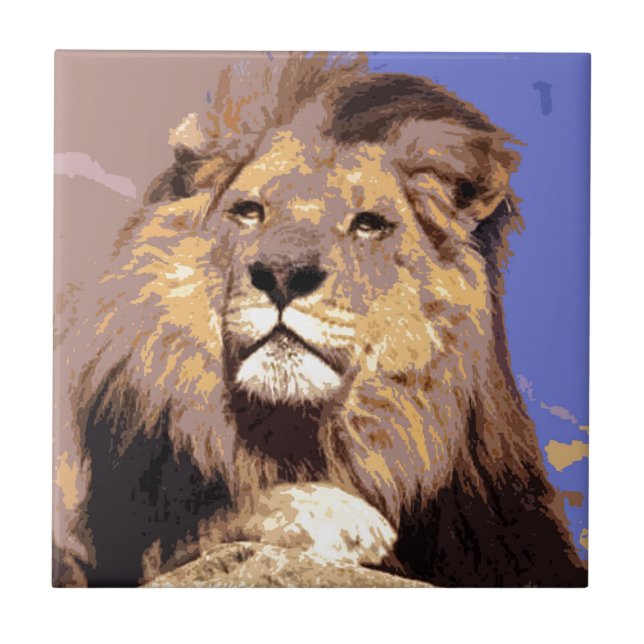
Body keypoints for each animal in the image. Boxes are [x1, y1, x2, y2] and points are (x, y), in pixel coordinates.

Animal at [53, 52, 587, 587]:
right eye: (249, 211)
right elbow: (212, 521)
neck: (302, 434)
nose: (283, 274)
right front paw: (328, 514)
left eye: (369, 224)